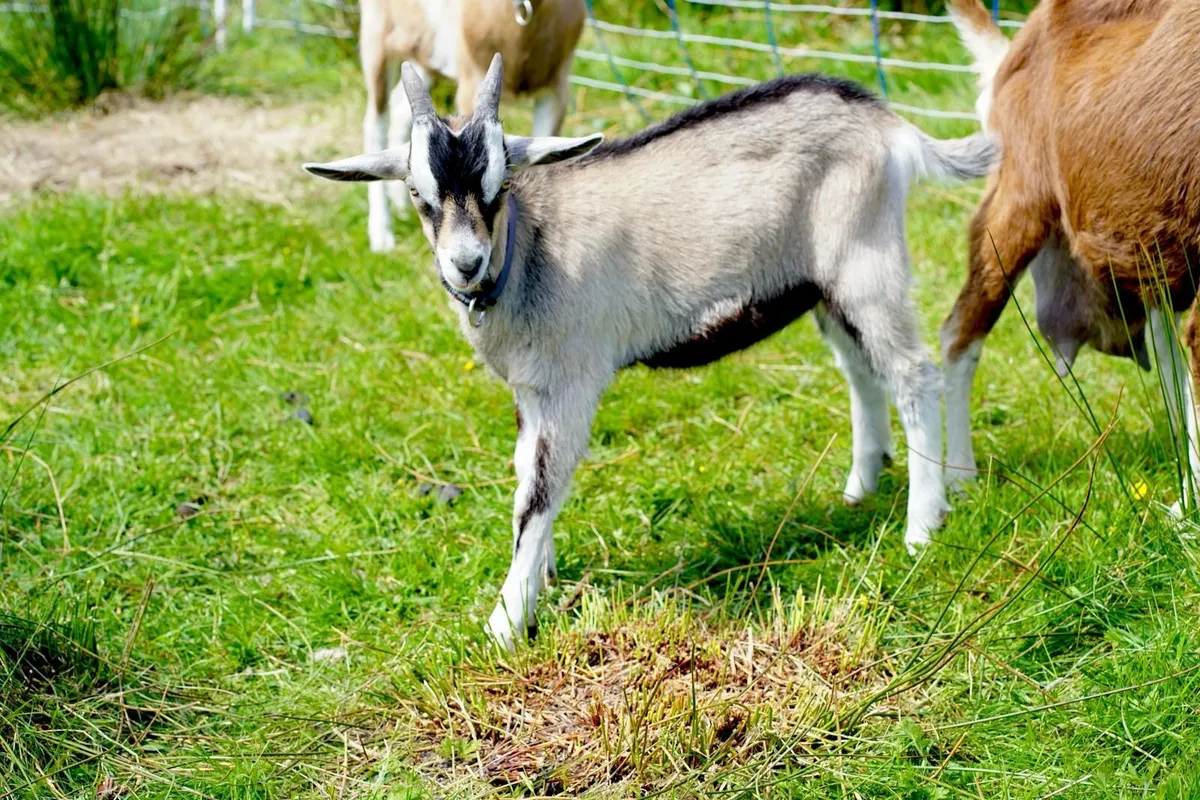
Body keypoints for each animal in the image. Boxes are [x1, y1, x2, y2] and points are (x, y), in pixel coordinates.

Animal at [304, 55, 996, 648]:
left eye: (499, 188)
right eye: (418, 195)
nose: (465, 263)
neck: (528, 249)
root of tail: (885, 122)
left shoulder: (572, 380)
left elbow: (538, 492)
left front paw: (506, 623)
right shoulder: (531, 388)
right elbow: (525, 473)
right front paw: (542, 579)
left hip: (865, 262)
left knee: (914, 374)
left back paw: (923, 523)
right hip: (822, 285)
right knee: (862, 371)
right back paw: (861, 486)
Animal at [358, 0, 584, 252]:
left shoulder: (556, 87)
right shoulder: (472, 82)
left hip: (425, 56)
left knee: (399, 111)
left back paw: (401, 206)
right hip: (377, 42)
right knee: (374, 122)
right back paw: (381, 236)